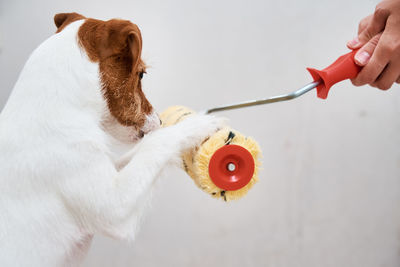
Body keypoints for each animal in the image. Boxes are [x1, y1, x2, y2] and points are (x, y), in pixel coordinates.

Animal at [0, 12, 225, 266]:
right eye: (141, 74)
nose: (159, 120)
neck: (53, 106)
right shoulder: (115, 206)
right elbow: (155, 145)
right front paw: (196, 124)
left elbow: (140, 152)